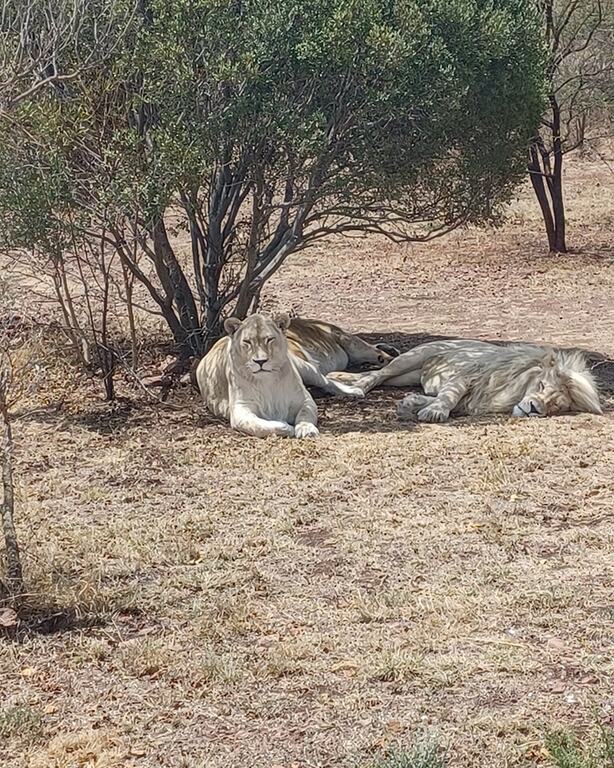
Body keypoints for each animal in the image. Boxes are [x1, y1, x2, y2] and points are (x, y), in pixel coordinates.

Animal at [195, 313, 350, 438]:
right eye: (247, 342)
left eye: (269, 339)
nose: (260, 361)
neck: (267, 381)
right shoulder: (240, 410)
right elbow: (260, 426)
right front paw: (286, 426)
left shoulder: (305, 400)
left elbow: (305, 415)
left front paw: (307, 429)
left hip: (305, 368)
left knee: (327, 382)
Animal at [339, 339, 602, 422]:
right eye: (541, 385)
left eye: (556, 406)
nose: (535, 409)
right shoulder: (467, 375)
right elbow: (449, 396)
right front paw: (433, 412)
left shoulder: (473, 398)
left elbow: (448, 400)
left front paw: (410, 404)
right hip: (412, 358)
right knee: (377, 375)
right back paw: (356, 387)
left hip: (405, 378)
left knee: (382, 379)